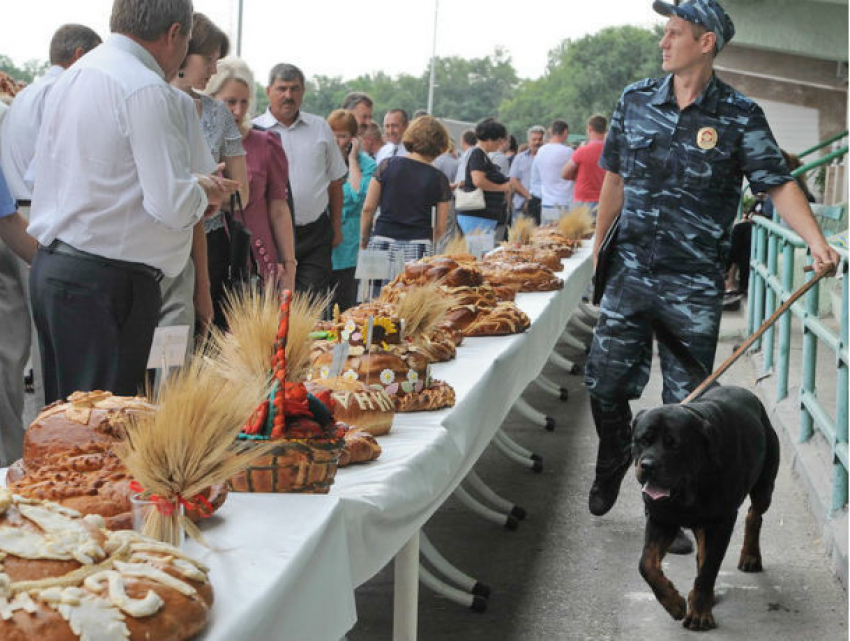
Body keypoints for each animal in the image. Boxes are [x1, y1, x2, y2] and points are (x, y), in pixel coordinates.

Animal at [632, 324, 780, 632]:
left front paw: (699, 611)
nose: (648, 465)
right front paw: (674, 602)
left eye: (673, 444)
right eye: (641, 440)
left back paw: (750, 555)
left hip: (765, 483)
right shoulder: (661, 517)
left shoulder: (722, 521)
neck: (691, 488)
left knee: (754, 514)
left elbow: (709, 568)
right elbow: (647, 564)